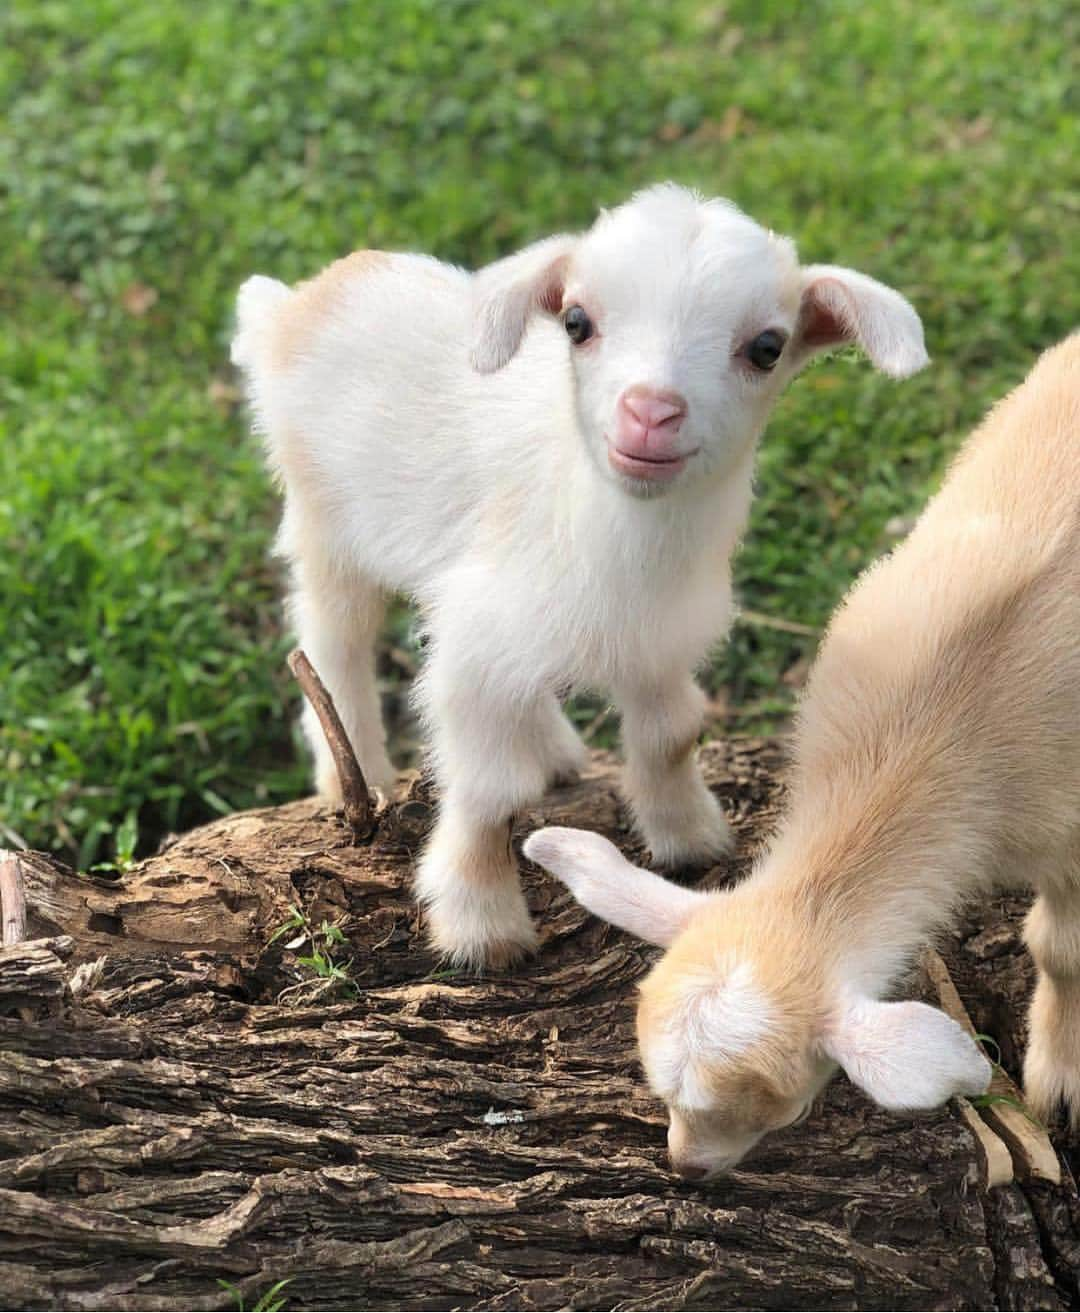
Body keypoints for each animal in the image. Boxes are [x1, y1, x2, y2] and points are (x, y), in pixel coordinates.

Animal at [232, 185, 923, 966]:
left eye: (767, 348)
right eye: (577, 322)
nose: (650, 412)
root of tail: (298, 303)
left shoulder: (658, 640)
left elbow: (671, 733)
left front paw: (690, 837)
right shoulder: (475, 645)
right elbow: (489, 790)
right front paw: (480, 924)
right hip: (323, 518)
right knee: (332, 637)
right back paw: (355, 773)